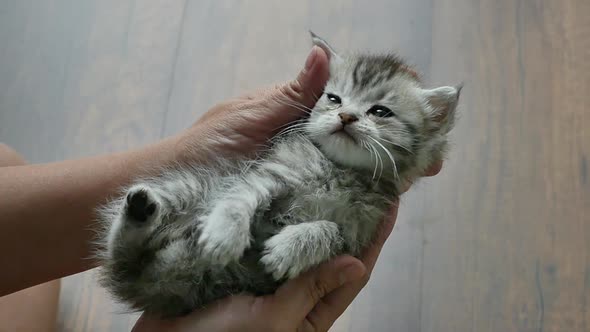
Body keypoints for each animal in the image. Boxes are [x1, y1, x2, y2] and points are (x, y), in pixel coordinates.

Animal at [96, 32, 462, 318]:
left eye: (380, 111)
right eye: (333, 98)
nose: (345, 116)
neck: (339, 170)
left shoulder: (355, 236)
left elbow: (328, 230)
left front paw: (289, 248)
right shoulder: (268, 172)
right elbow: (240, 196)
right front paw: (225, 233)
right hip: (189, 185)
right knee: (118, 254)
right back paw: (140, 210)